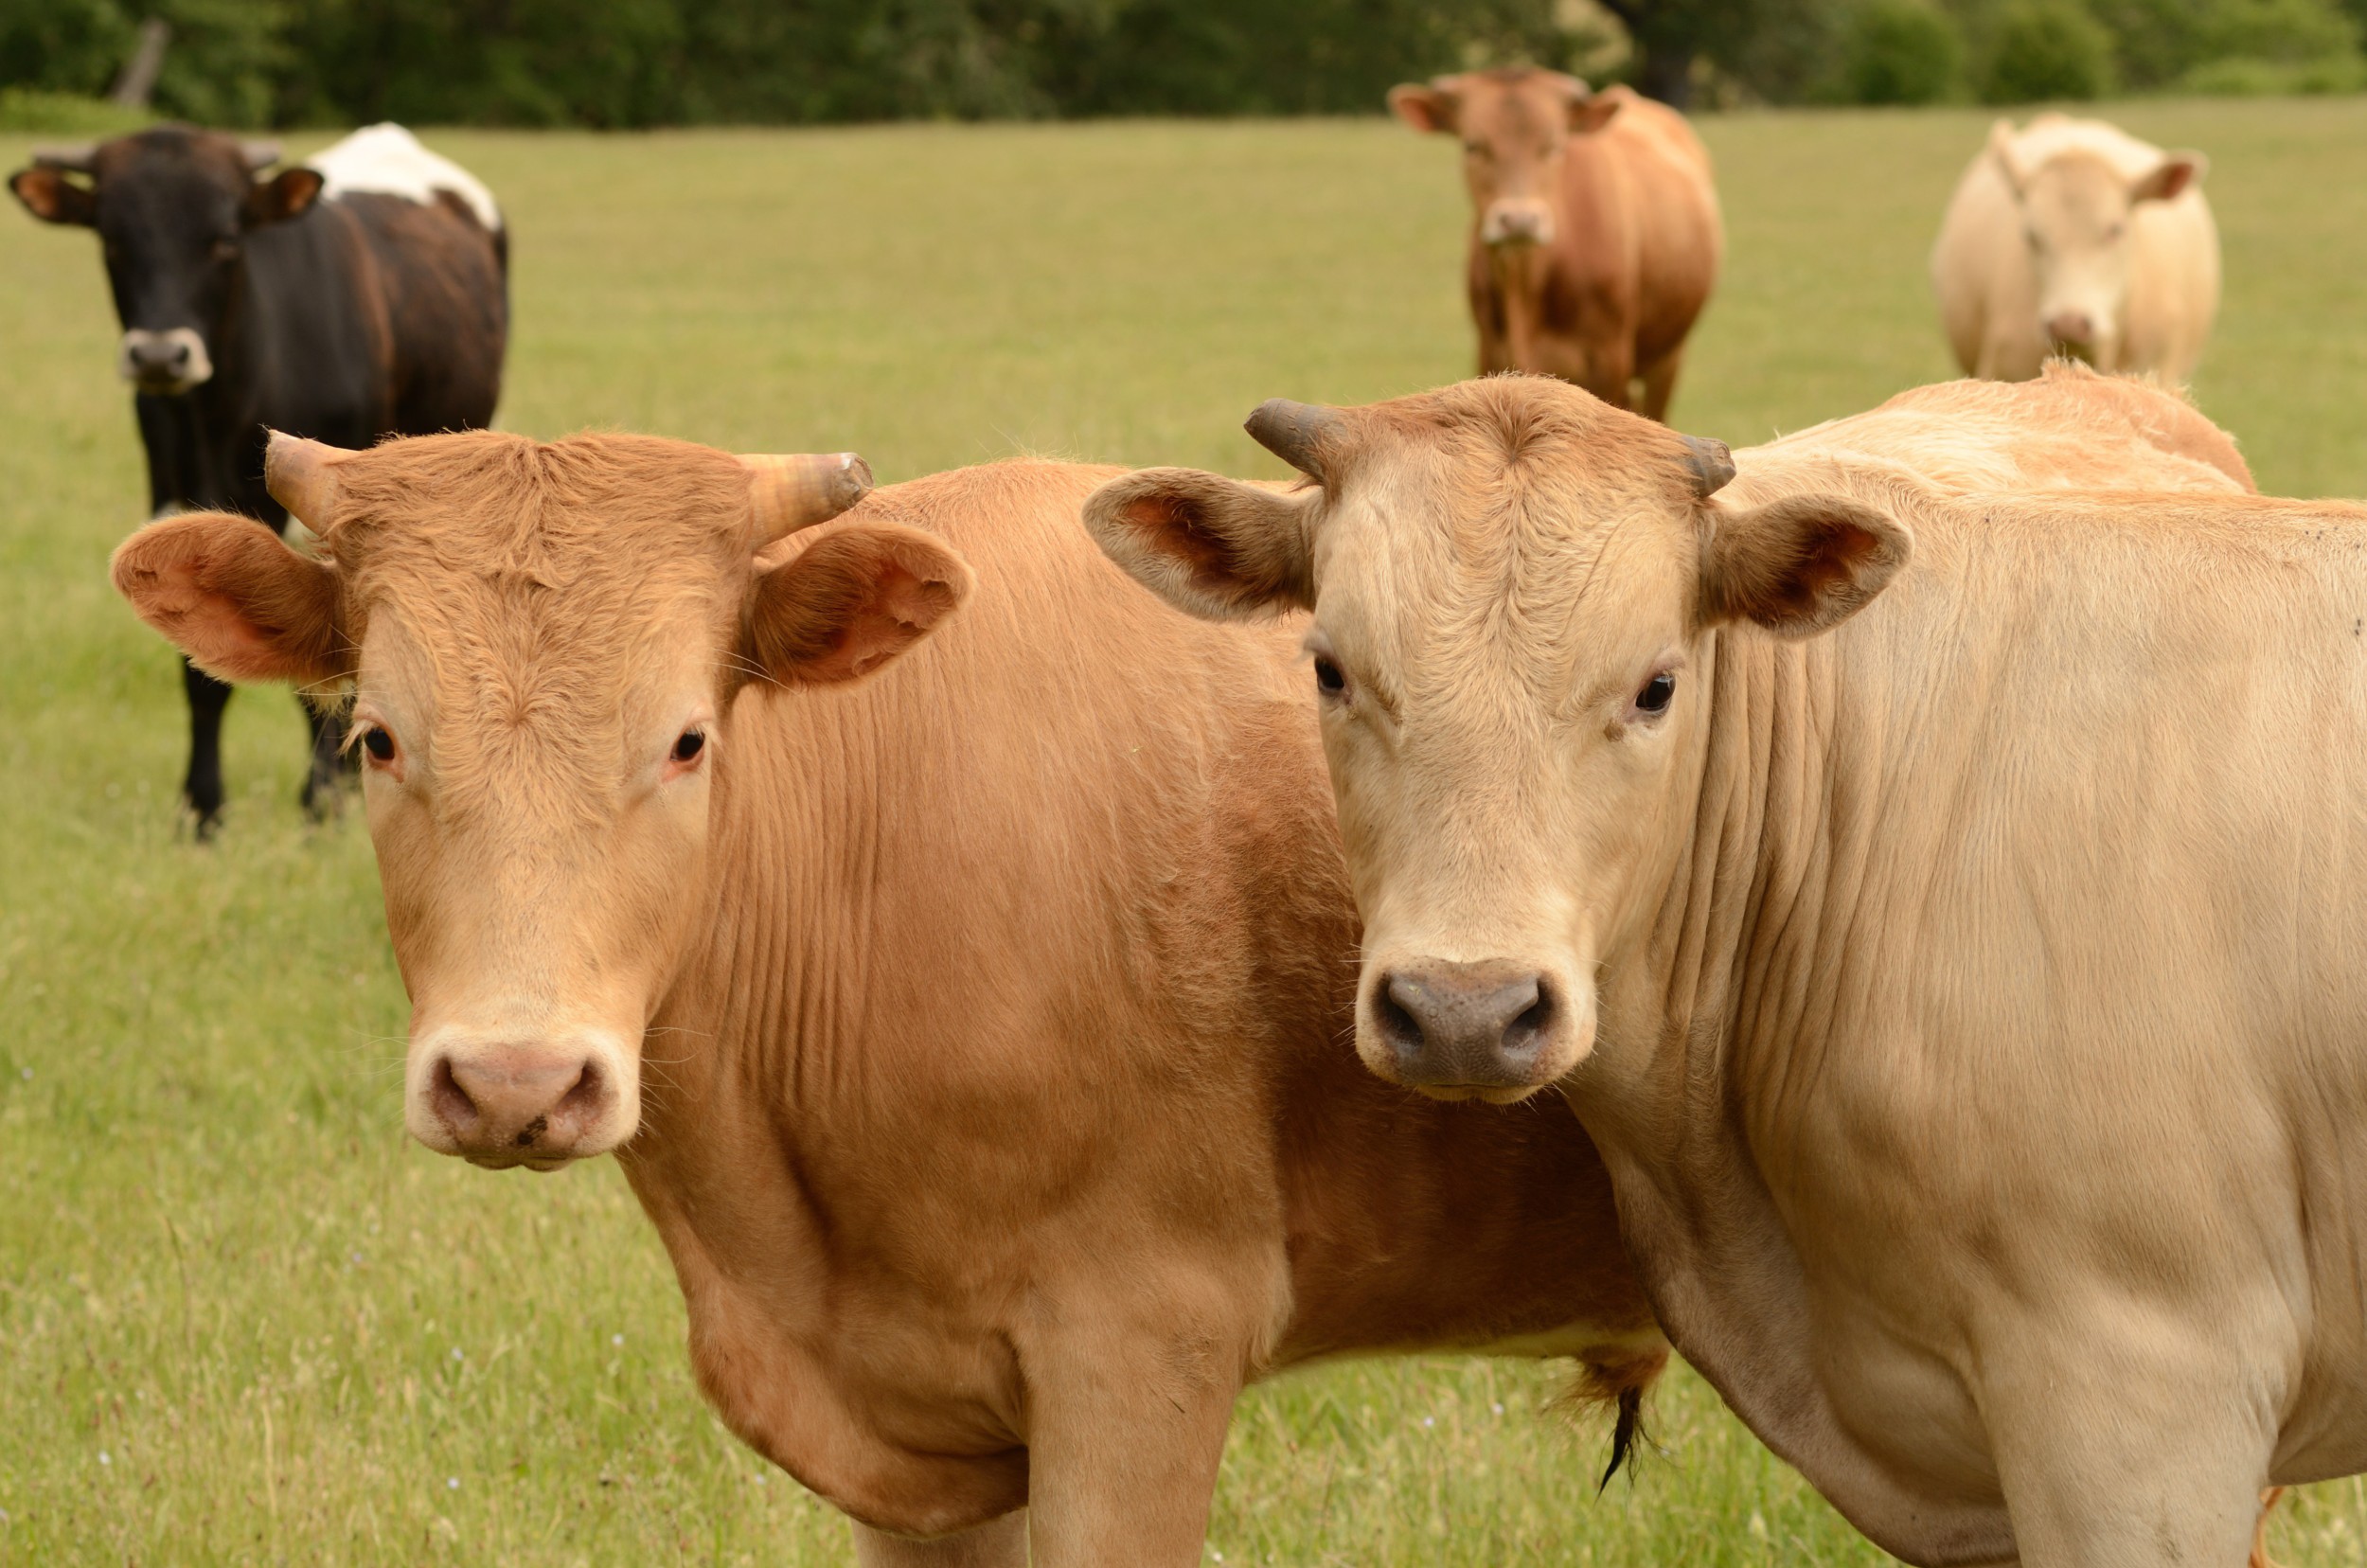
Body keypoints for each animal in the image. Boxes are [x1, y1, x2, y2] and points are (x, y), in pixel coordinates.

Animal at [14, 126, 504, 833]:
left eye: (224, 239)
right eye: (112, 238)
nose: (159, 355)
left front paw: (321, 804)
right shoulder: (174, 499)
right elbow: (201, 674)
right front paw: (202, 811)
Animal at [1382, 70, 1723, 421]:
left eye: (1554, 145)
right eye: (1472, 145)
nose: (1520, 220)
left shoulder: (1609, 363)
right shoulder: (1490, 353)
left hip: (1667, 357)